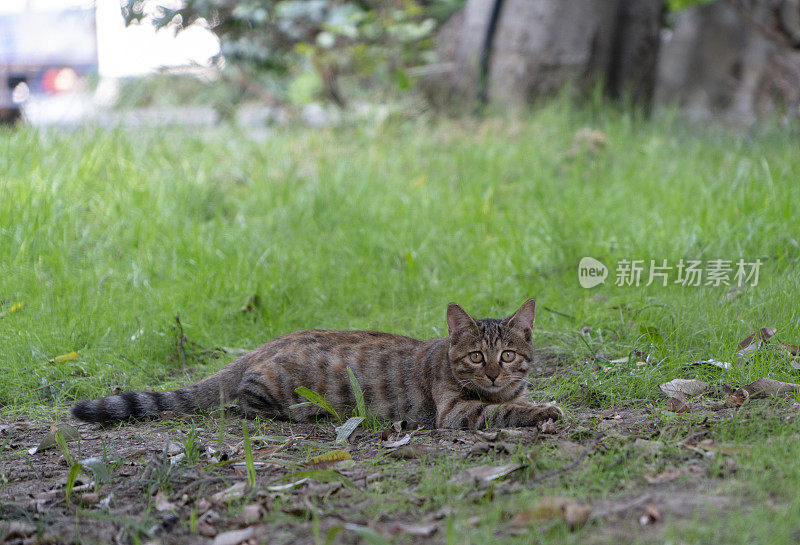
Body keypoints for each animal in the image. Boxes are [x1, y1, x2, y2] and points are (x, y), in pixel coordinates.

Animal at [73, 300, 564, 428]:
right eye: (477, 356)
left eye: (507, 355)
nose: (494, 373)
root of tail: (264, 345)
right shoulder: (455, 411)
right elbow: (503, 410)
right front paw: (541, 411)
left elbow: (516, 400)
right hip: (278, 384)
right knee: (241, 401)